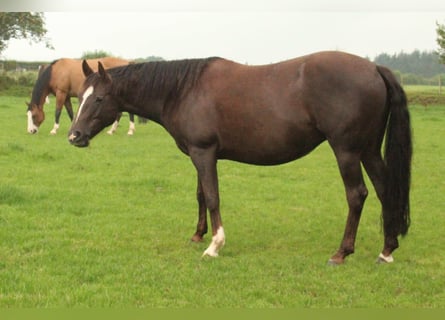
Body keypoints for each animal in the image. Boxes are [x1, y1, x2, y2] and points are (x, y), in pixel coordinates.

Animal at [67, 51, 412, 264]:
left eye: (99, 99)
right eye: (79, 96)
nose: (74, 136)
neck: (183, 90)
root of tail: (373, 68)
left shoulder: (204, 153)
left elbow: (213, 197)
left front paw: (214, 245)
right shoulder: (199, 154)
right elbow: (201, 195)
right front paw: (198, 235)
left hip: (347, 151)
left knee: (357, 195)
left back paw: (341, 253)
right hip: (368, 150)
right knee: (385, 191)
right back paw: (387, 250)